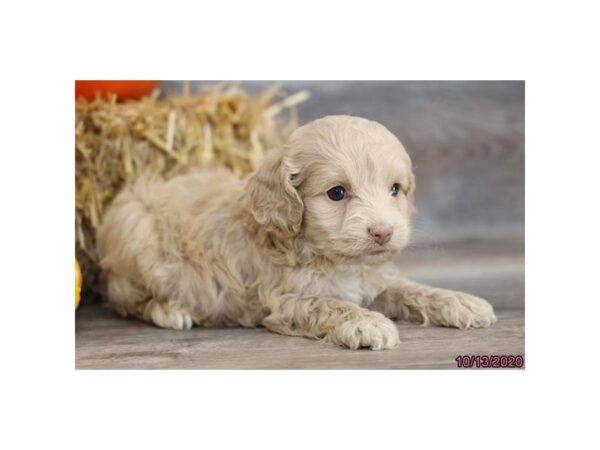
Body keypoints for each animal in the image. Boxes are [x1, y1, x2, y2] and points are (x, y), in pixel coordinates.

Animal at [96, 114, 494, 350]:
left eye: (395, 189)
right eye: (337, 193)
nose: (383, 232)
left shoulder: (374, 280)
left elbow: (410, 289)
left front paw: (461, 302)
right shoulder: (287, 299)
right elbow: (331, 304)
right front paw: (368, 323)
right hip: (137, 239)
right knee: (127, 301)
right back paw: (171, 311)